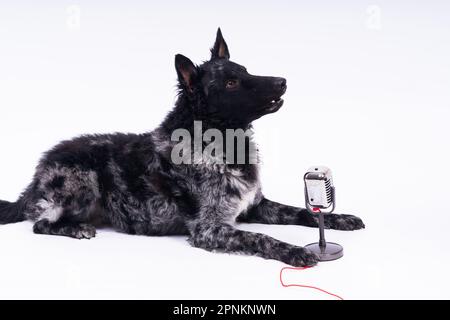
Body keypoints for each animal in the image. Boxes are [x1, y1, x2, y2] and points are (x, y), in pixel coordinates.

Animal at [0, 29, 364, 264]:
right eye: (232, 83)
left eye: (245, 70)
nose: (282, 81)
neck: (221, 144)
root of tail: (34, 179)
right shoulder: (210, 229)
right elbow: (259, 237)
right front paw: (294, 251)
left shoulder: (255, 206)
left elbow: (302, 211)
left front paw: (340, 218)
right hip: (83, 180)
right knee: (40, 224)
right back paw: (76, 229)